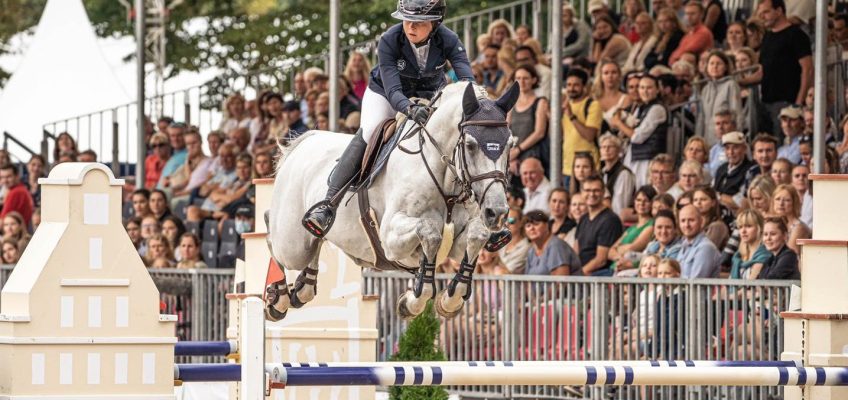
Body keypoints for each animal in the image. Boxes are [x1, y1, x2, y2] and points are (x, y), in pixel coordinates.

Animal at [266, 83, 516, 320]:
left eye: (510, 144)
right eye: (471, 145)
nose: (497, 212)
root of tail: (304, 142)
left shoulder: (457, 243)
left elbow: (477, 235)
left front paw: (448, 300)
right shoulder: (389, 236)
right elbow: (430, 232)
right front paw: (413, 301)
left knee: (313, 246)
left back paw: (303, 287)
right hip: (291, 244)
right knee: (271, 235)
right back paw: (277, 297)